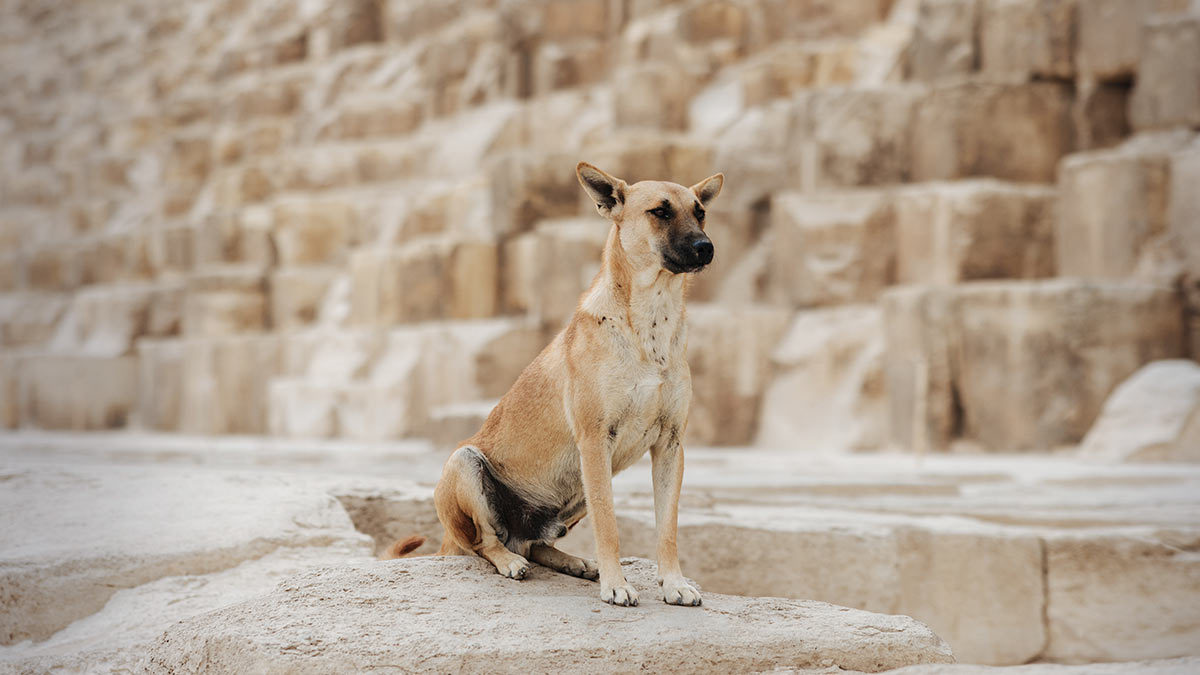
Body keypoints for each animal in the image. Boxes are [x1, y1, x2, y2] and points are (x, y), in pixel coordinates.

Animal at [388, 162, 720, 605]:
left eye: (700, 212)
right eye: (661, 212)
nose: (706, 248)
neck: (649, 324)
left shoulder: (670, 446)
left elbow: (667, 529)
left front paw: (674, 583)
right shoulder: (595, 442)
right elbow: (609, 527)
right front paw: (617, 585)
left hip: (573, 491)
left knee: (536, 543)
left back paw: (574, 563)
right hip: (465, 464)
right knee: (486, 544)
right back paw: (511, 562)